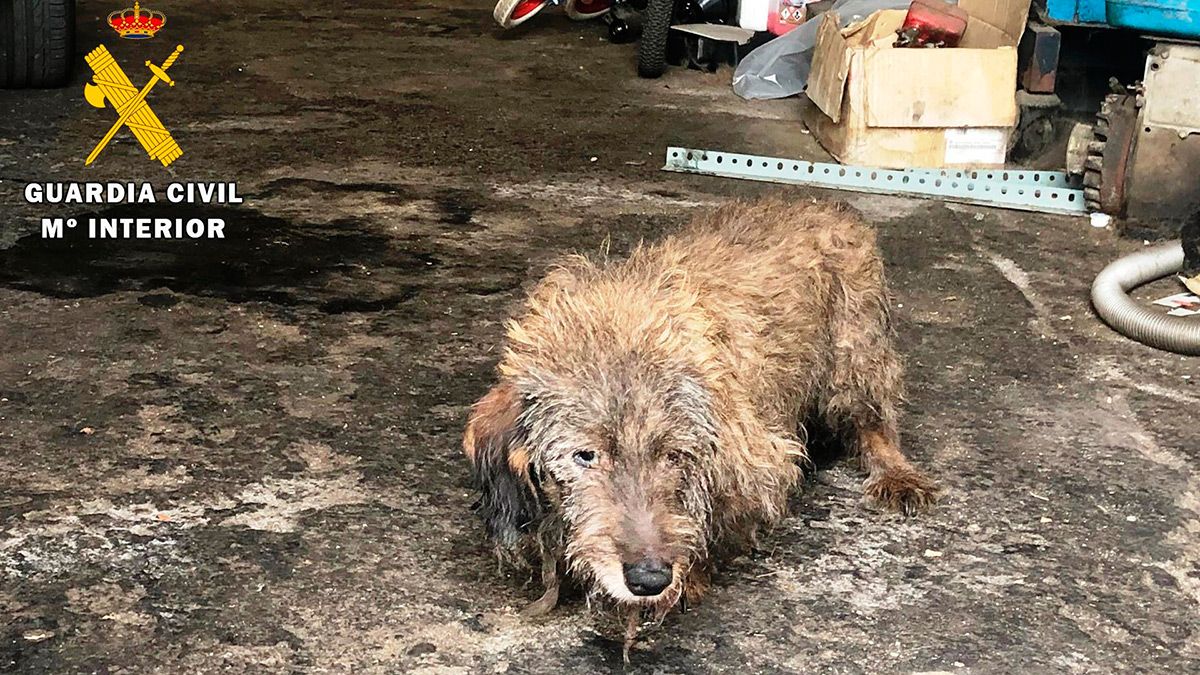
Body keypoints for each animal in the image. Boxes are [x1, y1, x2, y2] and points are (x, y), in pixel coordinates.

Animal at [460, 194, 936, 634]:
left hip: (855, 356)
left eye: (674, 456)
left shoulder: (760, 461)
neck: (617, 330)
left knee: (875, 422)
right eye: (585, 455)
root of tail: (822, 202)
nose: (650, 579)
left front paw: (689, 577)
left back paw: (897, 475)